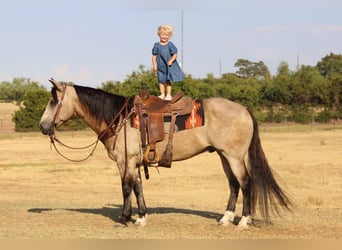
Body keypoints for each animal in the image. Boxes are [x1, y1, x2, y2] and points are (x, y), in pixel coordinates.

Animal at [39, 78, 292, 229]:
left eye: (53, 100)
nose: (42, 126)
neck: (120, 118)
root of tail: (244, 109)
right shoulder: (135, 162)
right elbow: (138, 187)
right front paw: (141, 217)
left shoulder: (125, 162)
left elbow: (126, 188)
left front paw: (124, 218)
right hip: (223, 156)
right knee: (233, 184)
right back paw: (225, 218)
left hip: (234, 156)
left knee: (246, 183)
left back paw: (243, 220)